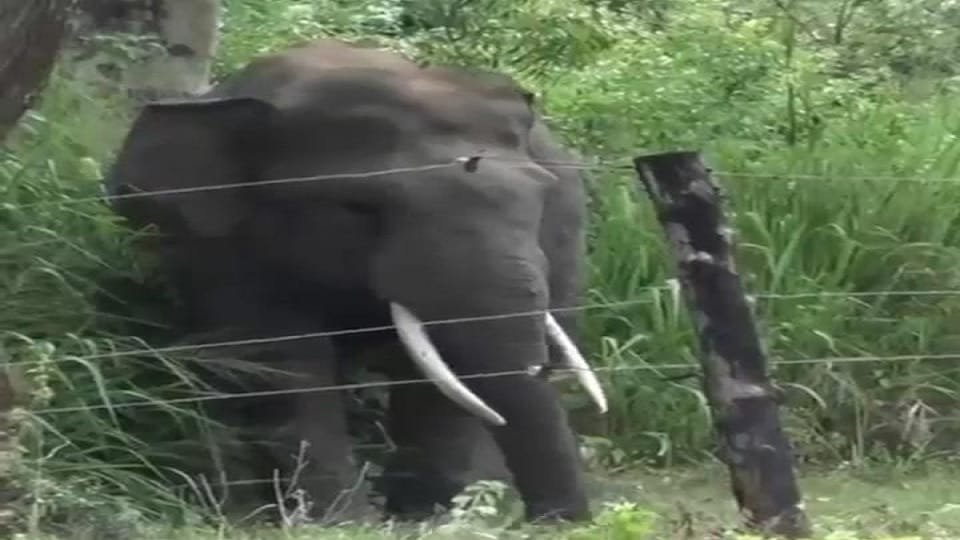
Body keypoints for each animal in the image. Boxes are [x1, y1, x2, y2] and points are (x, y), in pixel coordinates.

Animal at [103, 39, 608, 523]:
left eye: (540, 196)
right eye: (359, 208)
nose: (561, 521)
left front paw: (425, 515)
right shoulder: (217, 239)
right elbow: (282, 360)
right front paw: (338, 520)